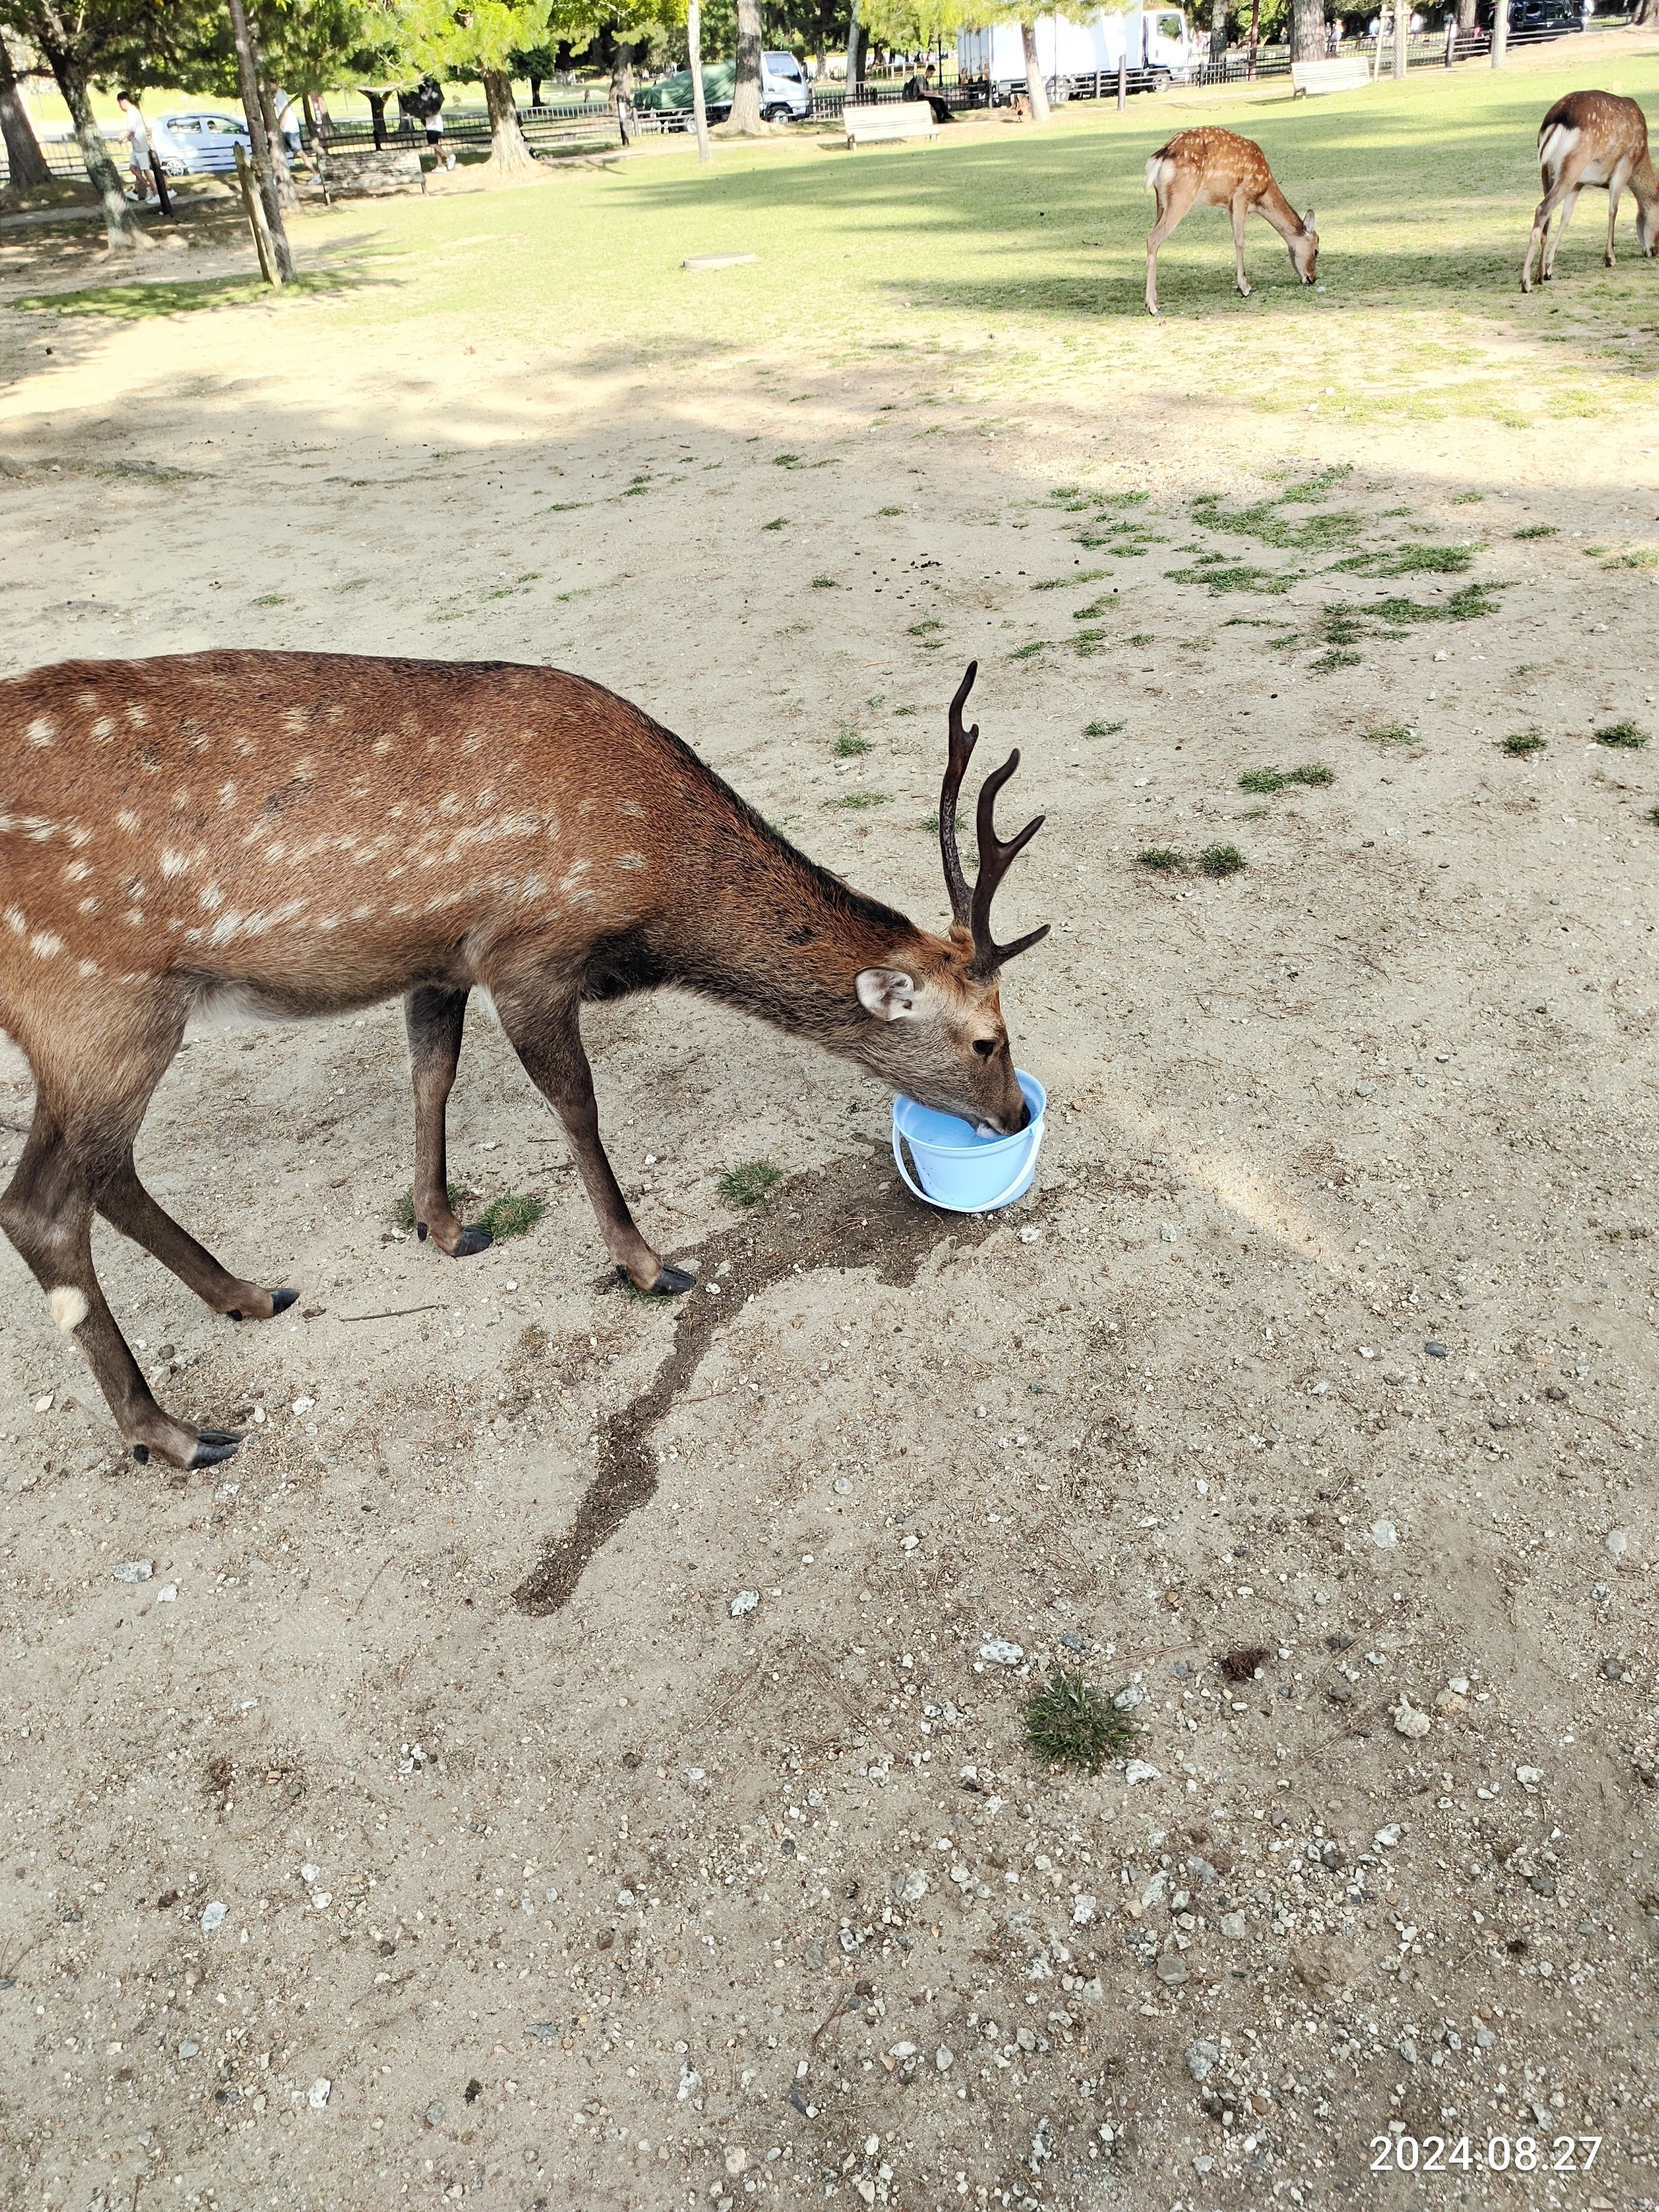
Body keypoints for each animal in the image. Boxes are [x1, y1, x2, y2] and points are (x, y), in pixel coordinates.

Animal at [0, 654, 1046, 1473]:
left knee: (103, 1169)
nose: (1016, 1116)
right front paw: (646, 1261)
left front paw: (443, 1224)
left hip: (96, 1021)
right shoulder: (528, 951)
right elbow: (575, 1104)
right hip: (95, 996)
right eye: (987, 1039)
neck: (651, 885)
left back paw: (248, 1295)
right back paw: (172, 1432)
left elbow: (432, 1073)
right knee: (41, 1204)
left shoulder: (440, 957)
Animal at [1144, 128, 1317, 317]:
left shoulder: (1230, 205)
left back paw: (1155, 302)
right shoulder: (1243, 195)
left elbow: (1236, 238)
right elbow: (1240, 241)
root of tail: (1159, 159)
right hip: (1182, 195)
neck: (1262, 195)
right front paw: (1245, 288)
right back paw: (1152, 307)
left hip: (1161, 202)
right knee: (1152, 239)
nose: (1313, 278)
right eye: (1316, 251)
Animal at [1520, 91, 1659, 294]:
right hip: (1574, 164)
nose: (1655, 251)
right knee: (1542, 209)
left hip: (1548, 171)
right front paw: (1610, 259)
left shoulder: (1579, 184)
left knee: (1549, 217)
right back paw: (1526, 282)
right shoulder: (1624, 166)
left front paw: (1549, 269)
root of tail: (1557, 119)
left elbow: (1566, 218)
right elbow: (1613, 210)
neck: (1640, 158)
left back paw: (1539, 276)